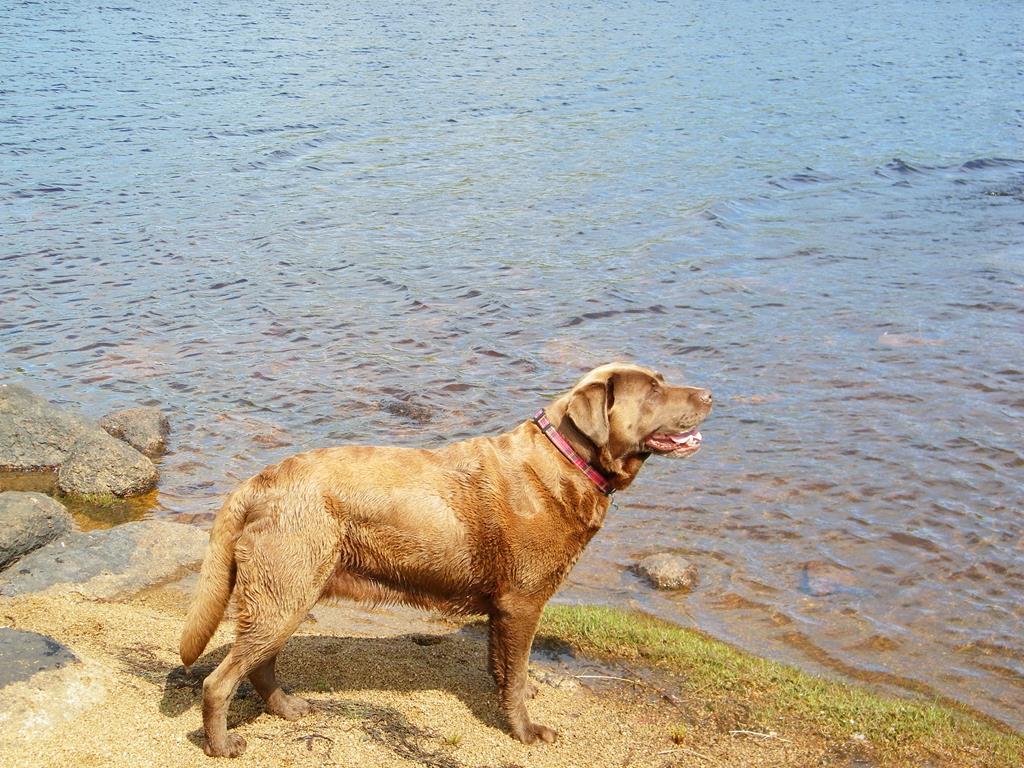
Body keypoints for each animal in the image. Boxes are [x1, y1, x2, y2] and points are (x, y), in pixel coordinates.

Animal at [180, 362, 712, 757]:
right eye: (655, 390)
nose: (708, 394)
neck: (567, 462)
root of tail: (256, 482)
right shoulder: (522, 602)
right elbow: (516, 669)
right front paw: (526, 730)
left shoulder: (505, 607)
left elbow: (505, 666)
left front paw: (519, 693)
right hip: (285, 591)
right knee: (220, 681)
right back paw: (223, 745)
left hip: (288, 593)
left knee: (259, 664)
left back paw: (288, 710)